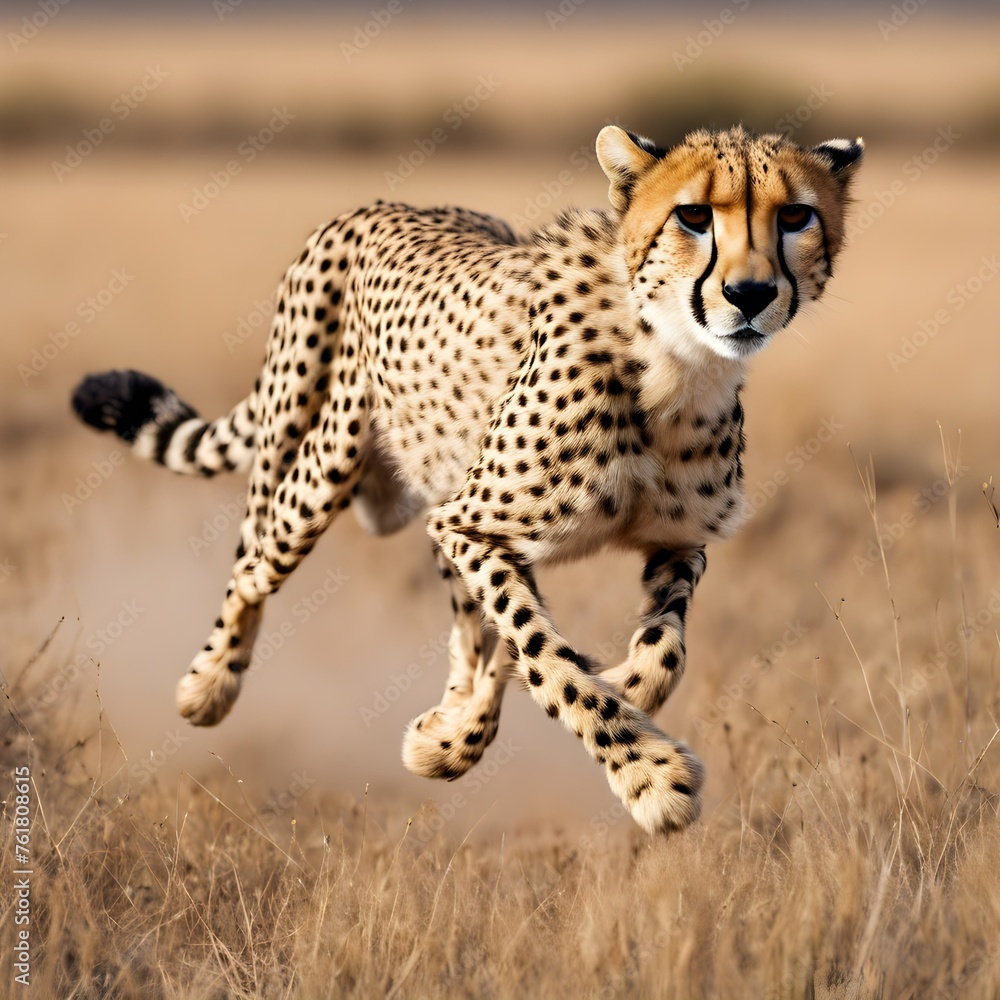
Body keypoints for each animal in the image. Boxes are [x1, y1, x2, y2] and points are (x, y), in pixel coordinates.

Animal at [71, 124, 863, 834]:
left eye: (795, 216)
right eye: (693, 216)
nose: (750, 293)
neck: (675, 364)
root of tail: (381, 204)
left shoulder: (673, 542)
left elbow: (659, 648)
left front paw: (620, 684)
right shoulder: (472, 524)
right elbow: (546, 658)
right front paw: (649, 775)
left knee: (468, 628)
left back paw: (449, 736)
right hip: (313, 463)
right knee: (252, 566)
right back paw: (209, 686)